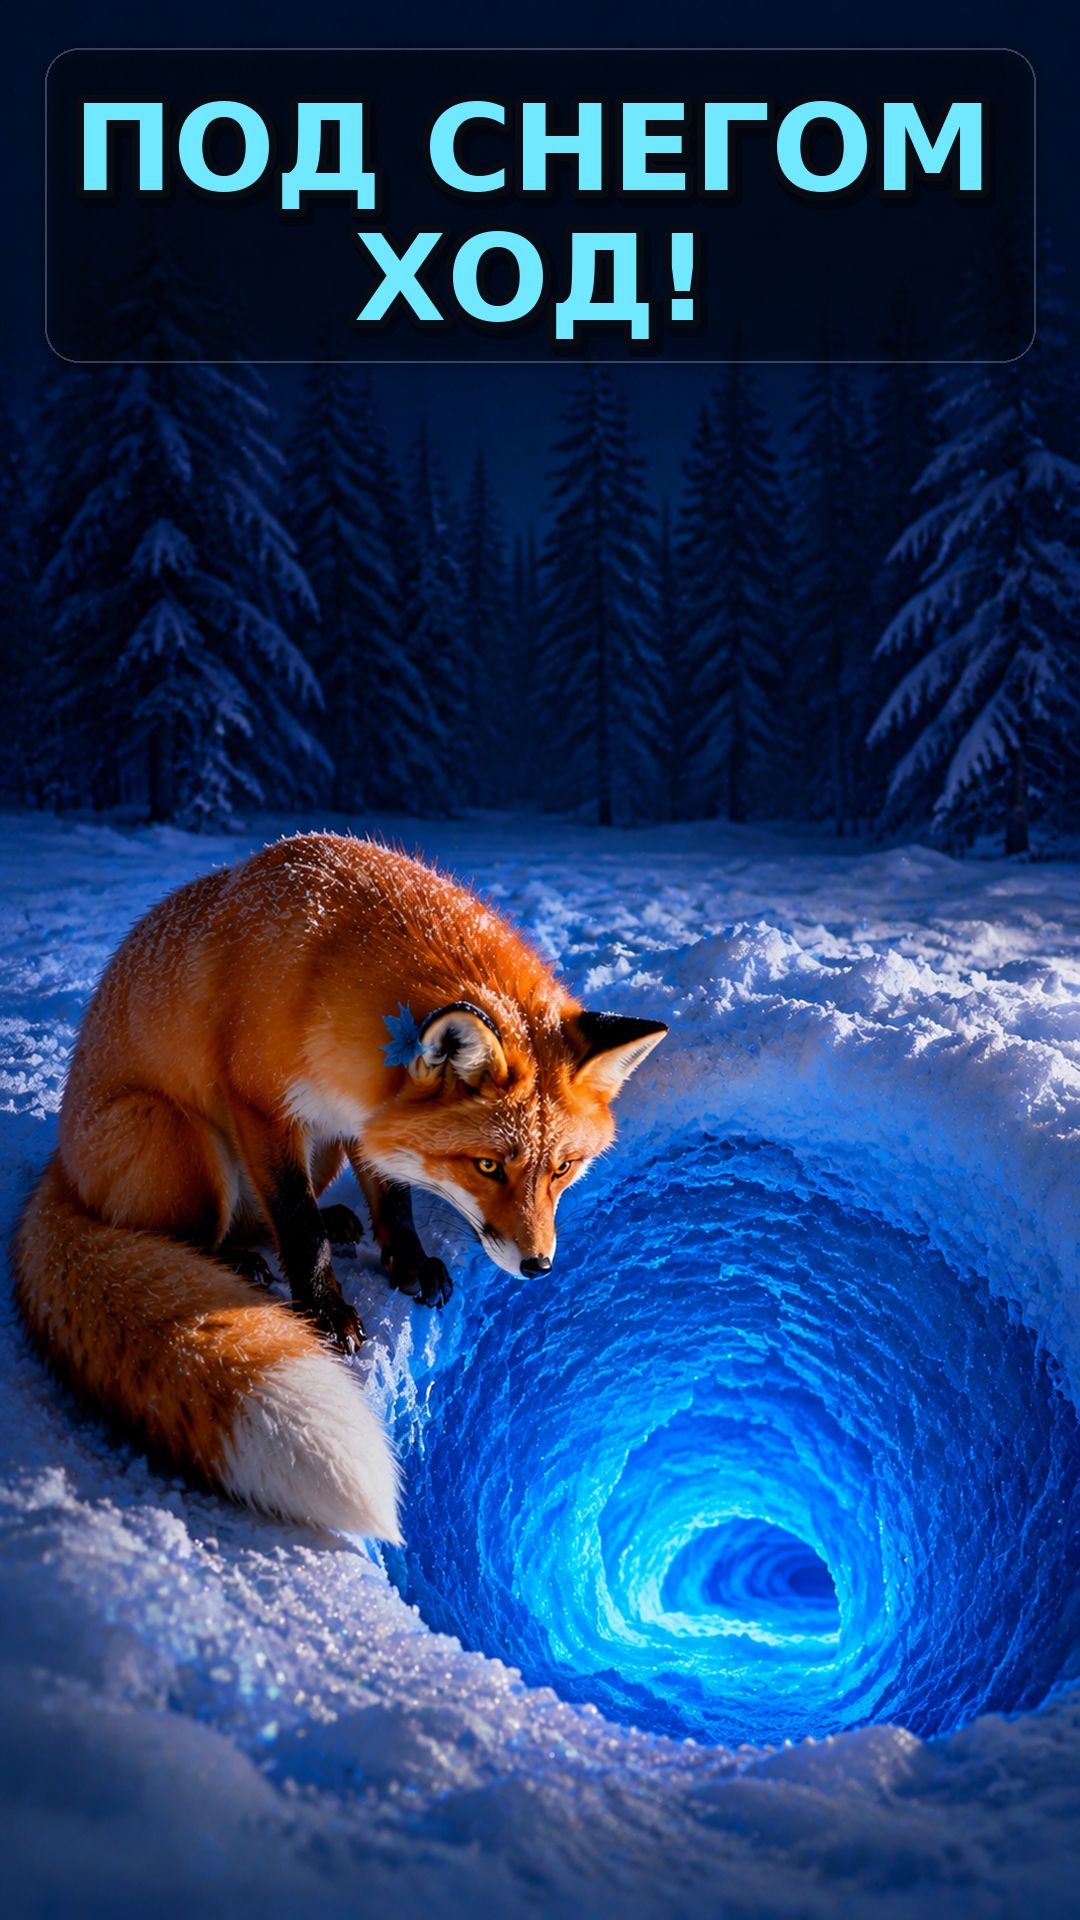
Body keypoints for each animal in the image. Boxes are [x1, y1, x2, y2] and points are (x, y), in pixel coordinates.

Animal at [13, 833, 666, 1542]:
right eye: (489, 1167)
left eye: (562, 1169)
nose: (538, 1265)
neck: (326, 957)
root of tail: (62, 1165)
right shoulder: (261, 1106)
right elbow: (297, 1223)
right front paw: (325, 1312)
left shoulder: (361, 1115)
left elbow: (392, 1196)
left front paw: (406, 1262)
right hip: (184, 1138)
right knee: (178, 1233)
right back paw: (234, 1261)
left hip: (315, 1145)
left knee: (264, 1217)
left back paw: (330, 1223)